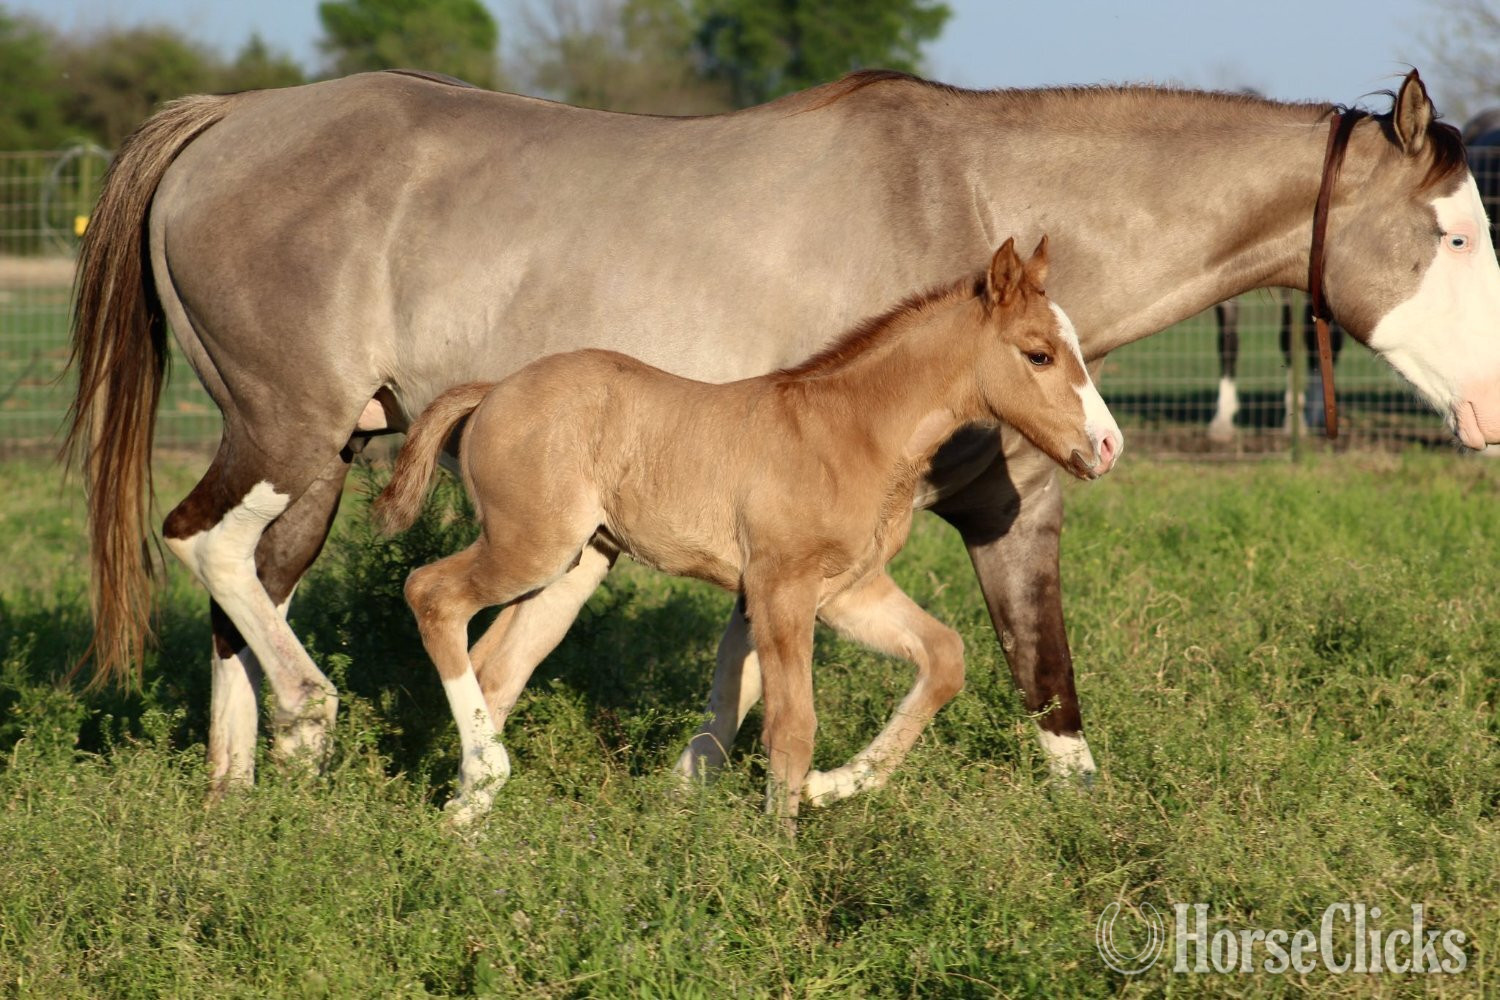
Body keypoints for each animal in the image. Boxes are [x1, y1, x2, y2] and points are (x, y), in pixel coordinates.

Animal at [371, 238, 1120, 822]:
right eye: (1040, 355)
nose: (1107, 445)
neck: (852, 431)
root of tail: (494, 389)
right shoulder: (781, 585)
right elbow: (792, 726)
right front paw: (779, 864)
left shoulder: (847, 591)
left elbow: (944, 657)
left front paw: (831, 788)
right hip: (529, 546)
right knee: (431, 595)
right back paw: (484, 779)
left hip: (573, 564)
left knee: (498, 666)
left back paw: (467, 821)